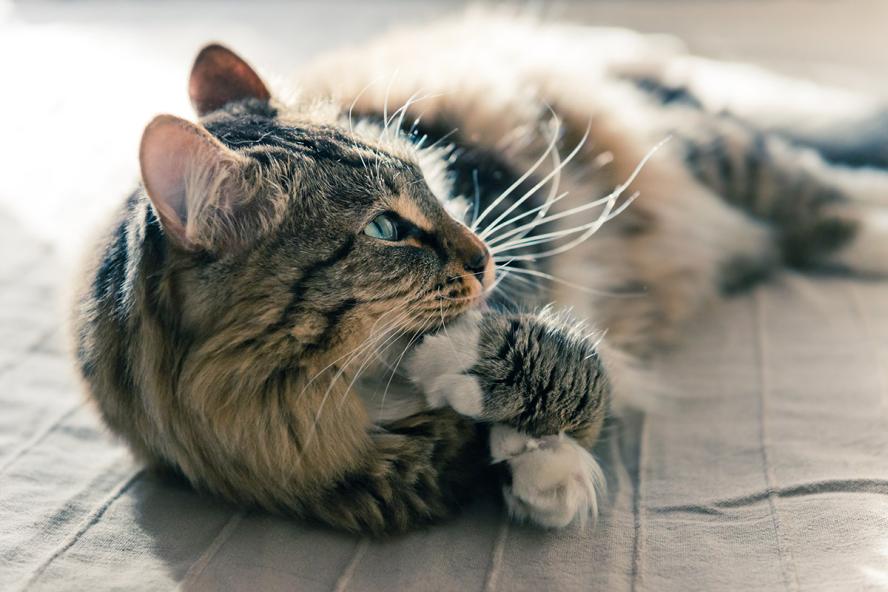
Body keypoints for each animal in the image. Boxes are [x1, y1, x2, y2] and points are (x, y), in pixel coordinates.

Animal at [73, 13, 888, 536]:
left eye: (429, 180)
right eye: (385, 230)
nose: (481, 256)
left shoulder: (510, 215)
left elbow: (572, 359)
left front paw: (522, 426)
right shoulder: (369, 480)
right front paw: (527, 456)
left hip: (704, 152)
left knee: (817, 194)